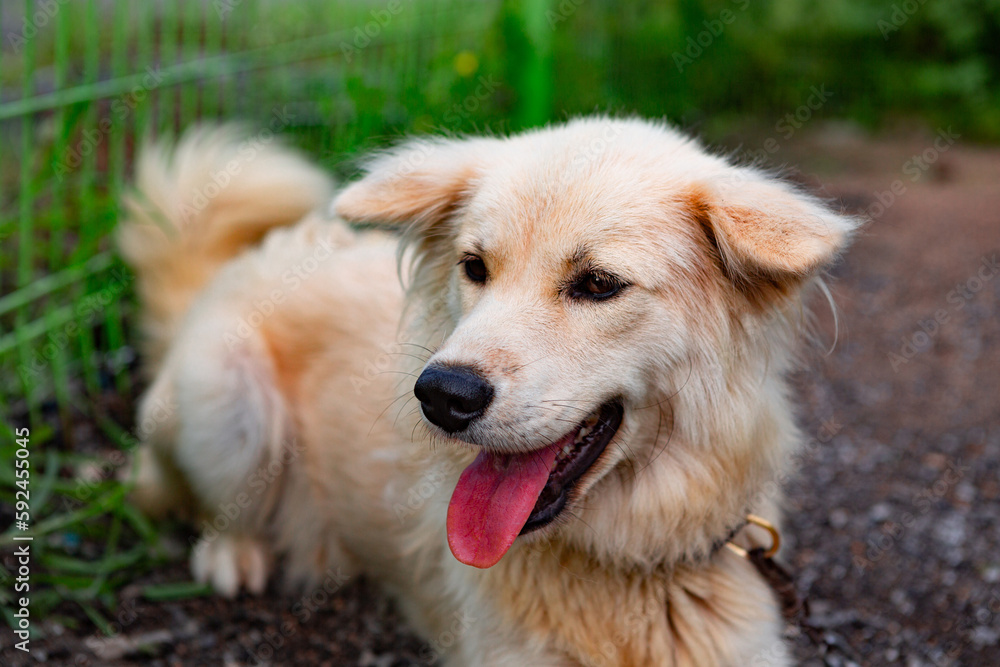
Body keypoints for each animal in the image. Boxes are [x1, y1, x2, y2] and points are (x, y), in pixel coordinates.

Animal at [115, 117, 852, 664]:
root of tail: (239, 263)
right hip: (227, 393)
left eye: (598, 284)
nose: (442, 394)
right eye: (475, 267)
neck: (629, 564)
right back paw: (234, 553)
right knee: (200, 501)